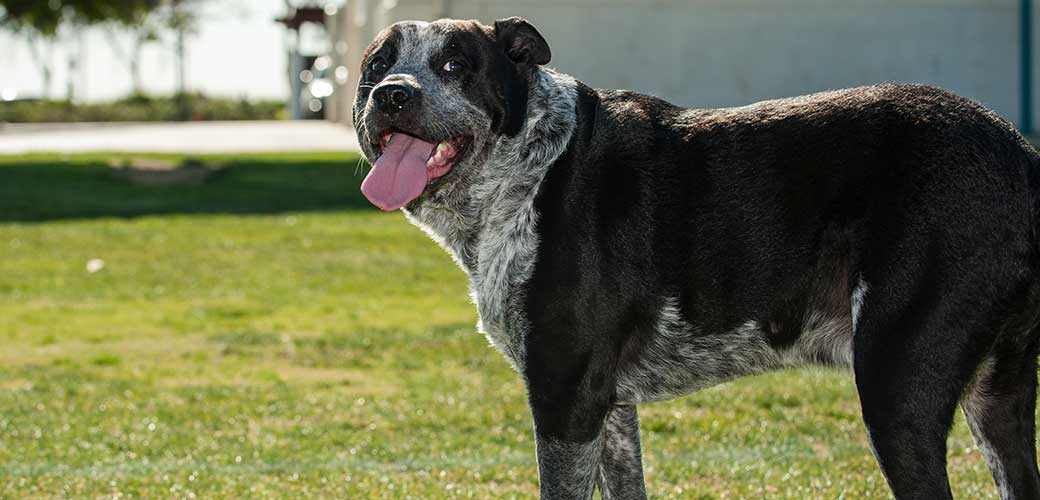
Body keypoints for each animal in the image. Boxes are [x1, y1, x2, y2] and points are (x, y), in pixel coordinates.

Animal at [353, 16, 1040, 498]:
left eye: (454, 65)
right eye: (376, 66)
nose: (391, 95)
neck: (527, 169)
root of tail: (1020, 152)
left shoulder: (564, 398)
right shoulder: (609, 407)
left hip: (898, 389)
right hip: (997, 401)